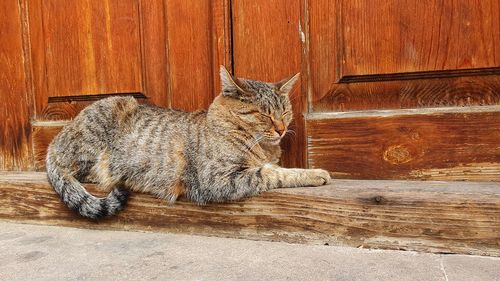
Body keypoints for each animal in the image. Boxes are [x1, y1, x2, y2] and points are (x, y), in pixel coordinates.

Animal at [45, 66, 330, 219]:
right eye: (264, 115)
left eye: (285, 112)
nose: (282, 129)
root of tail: (56, 139)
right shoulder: (217, 179)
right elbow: (274, 173)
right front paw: (315, 173)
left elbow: (273, 168)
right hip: (104, 123)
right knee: (77, 171)